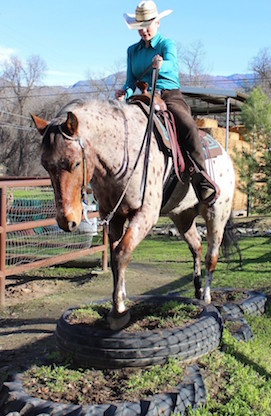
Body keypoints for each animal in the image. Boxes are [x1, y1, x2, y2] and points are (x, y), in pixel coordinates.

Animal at [31, 99, 236, 330]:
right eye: (45, 166)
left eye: (75, 162)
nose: (66, 221)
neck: (123, 150)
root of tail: (225, 155)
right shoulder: (114, 216)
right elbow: (114, 258)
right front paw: (117, 302)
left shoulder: (145, 214)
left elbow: (122, 253)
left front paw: (119, 310)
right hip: (182, 217)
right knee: (196, 247)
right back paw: (198, 290)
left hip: (216, 214)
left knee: (211, 256)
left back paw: (207, 297)